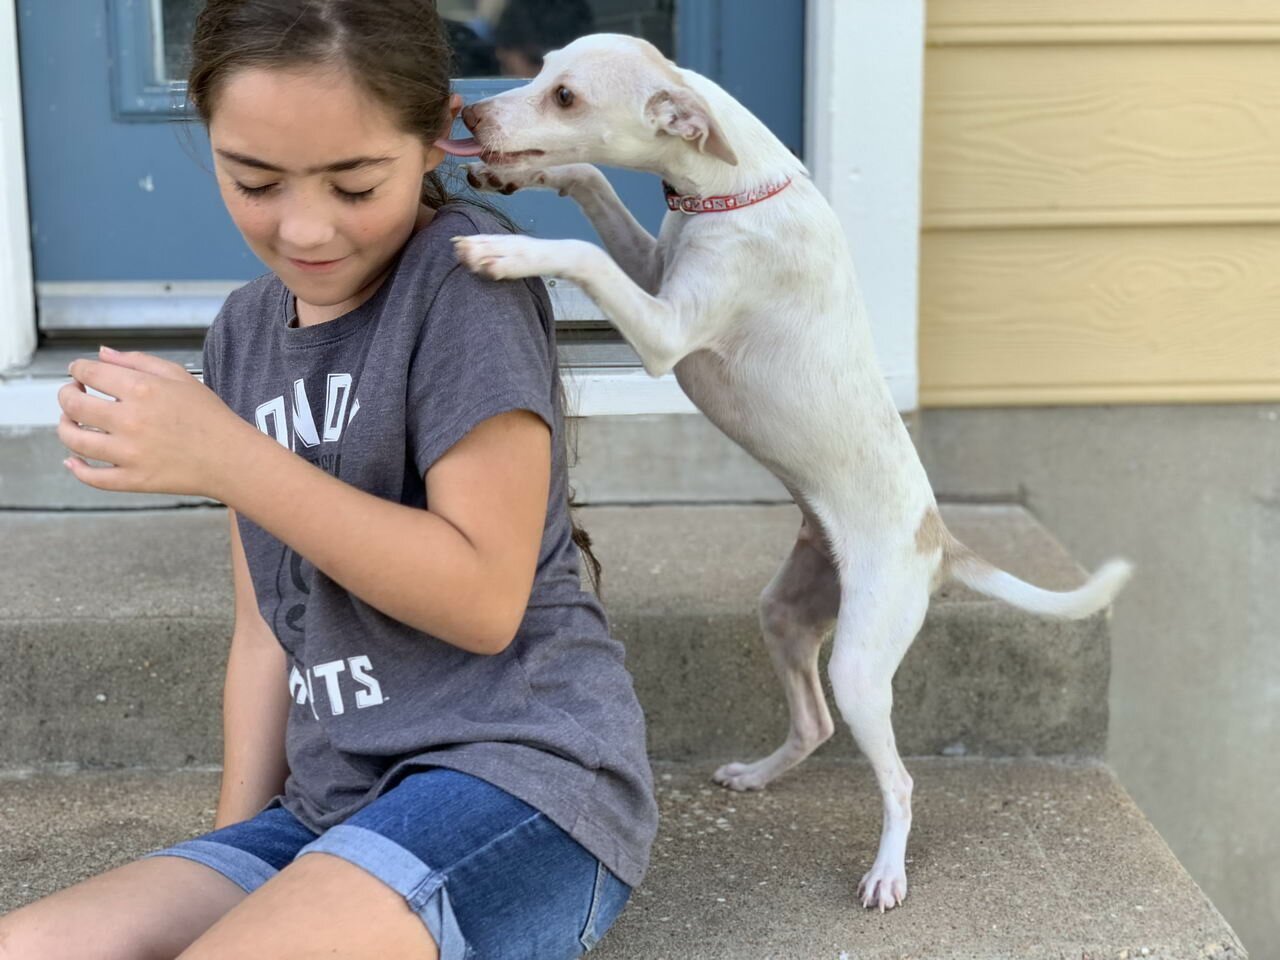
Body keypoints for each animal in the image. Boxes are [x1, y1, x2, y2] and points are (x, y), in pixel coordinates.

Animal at [440, 33, 1131, 911]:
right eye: (539, 70)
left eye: (565, 96)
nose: (470, 114)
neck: (734, 193)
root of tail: (937, 539)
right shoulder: (656, 267)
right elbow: (594, 189)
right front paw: (526, 179)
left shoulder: (666, 331)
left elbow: (582, 247)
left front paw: (508, 250)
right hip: (789, 612)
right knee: (814, 724)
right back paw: (759, 775)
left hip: (861, 663)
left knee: (898, 779)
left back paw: (887, 872)